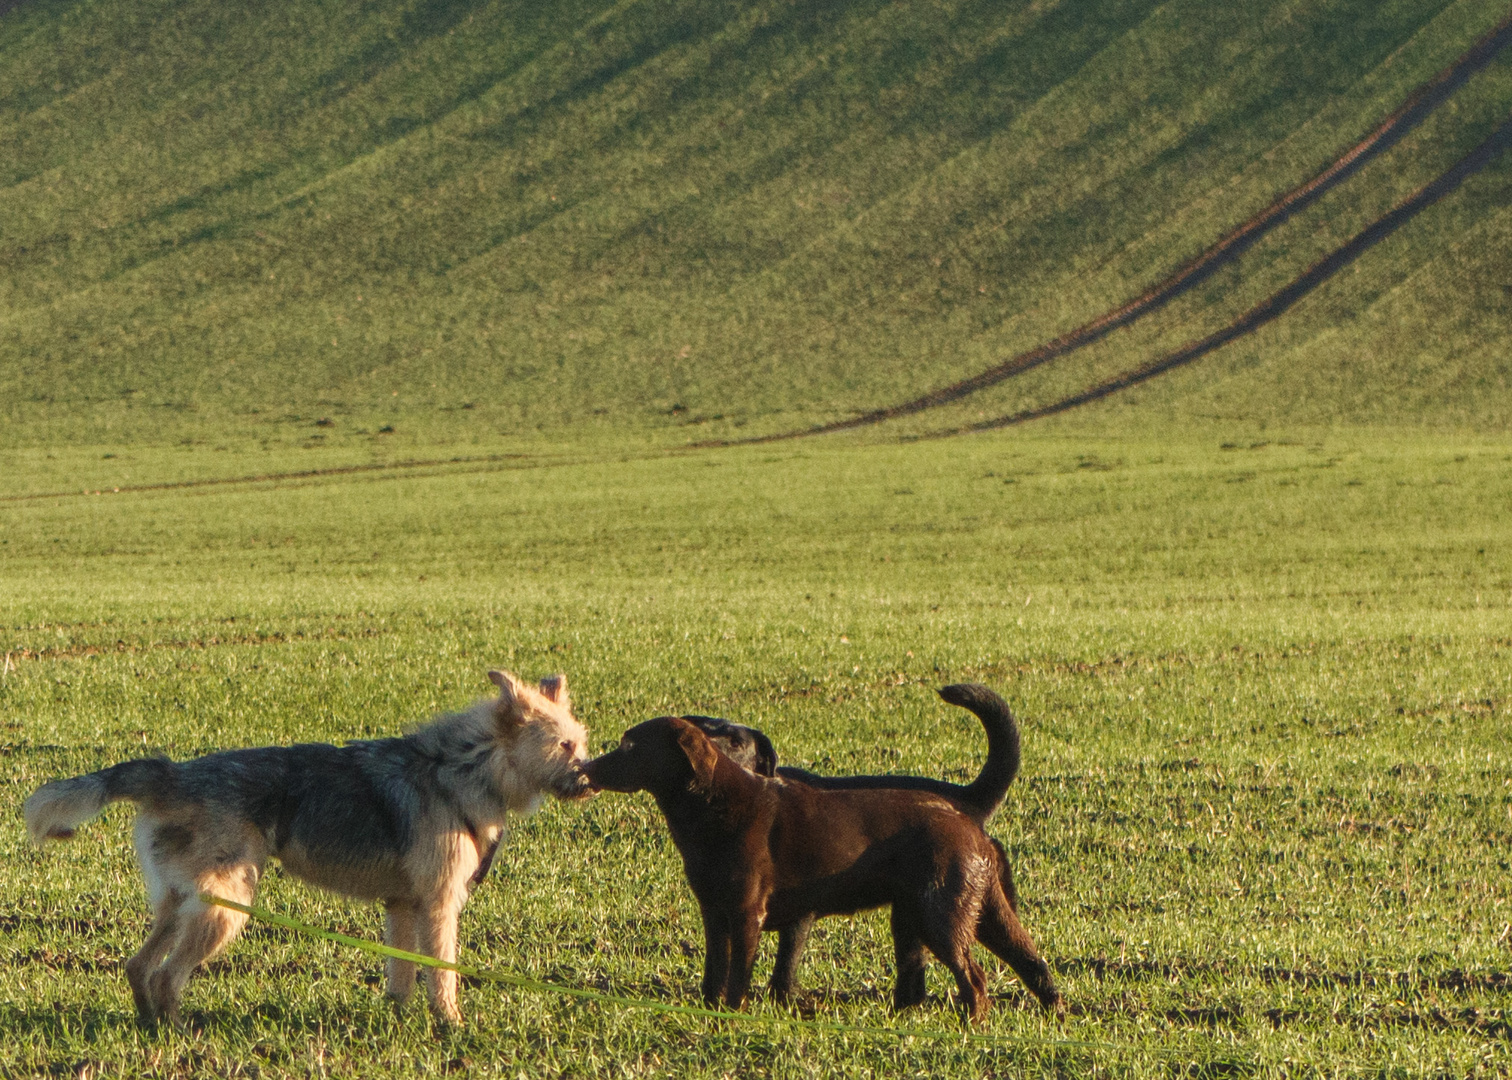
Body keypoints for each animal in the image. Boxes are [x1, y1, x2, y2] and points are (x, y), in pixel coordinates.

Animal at [25, 665, 589, 1028]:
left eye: (579, 742)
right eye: (564, 745)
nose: (591, 781)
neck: (463, 767)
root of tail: (171, 774)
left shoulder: (403, 906)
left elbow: (402, 974)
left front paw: (397, 1021)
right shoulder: (439, 904)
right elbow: (442, 974)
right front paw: (450, 1026)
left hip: (181, 901)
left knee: (140, 967)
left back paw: (150, 1027)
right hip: (226, 906)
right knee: (167, 976)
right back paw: (181, 1035)